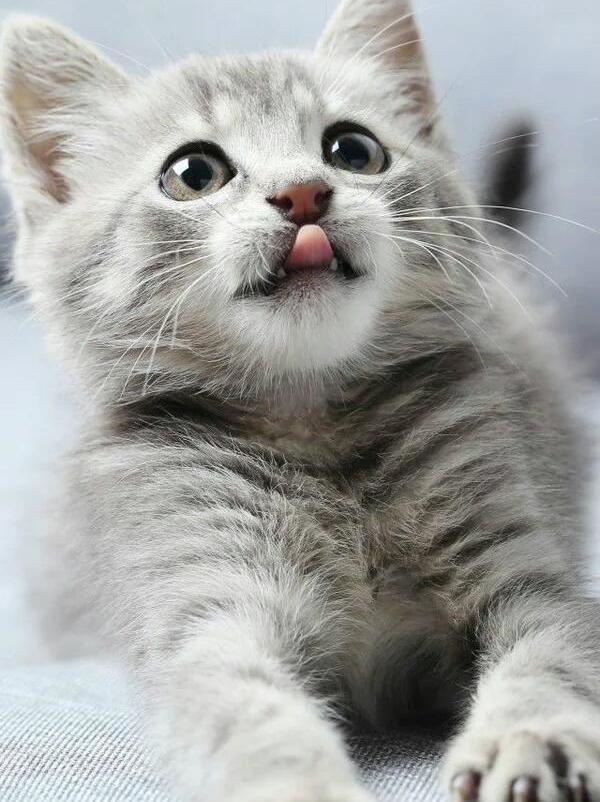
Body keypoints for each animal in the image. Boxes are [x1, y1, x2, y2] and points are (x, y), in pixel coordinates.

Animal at [2, 2, 599, 801]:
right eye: (193, 173)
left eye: (353, 149)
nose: (304, 192)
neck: (314, 427)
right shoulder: (208, 608)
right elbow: (250, 715)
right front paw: (300, 782)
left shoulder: (529, 576)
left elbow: (551, 659)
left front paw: (532, 737)